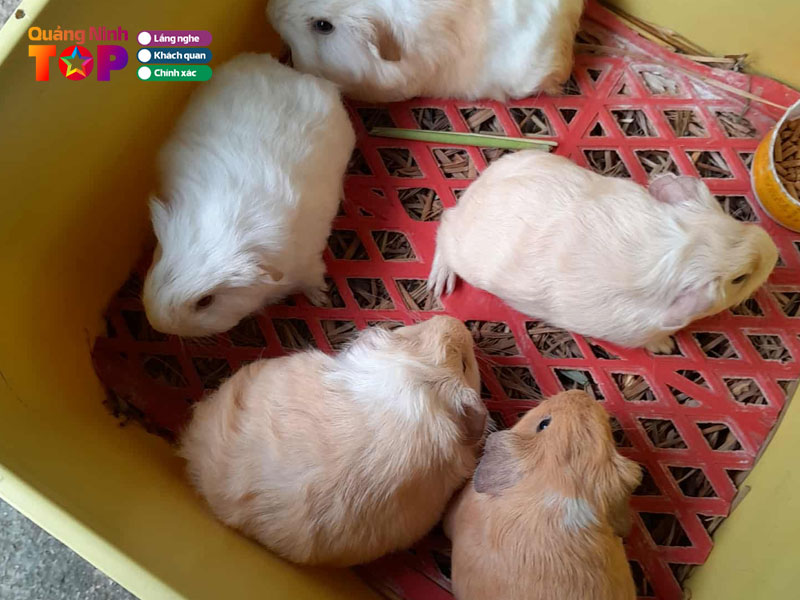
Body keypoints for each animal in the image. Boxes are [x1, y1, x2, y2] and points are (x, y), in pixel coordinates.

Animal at [143, 53, 355, 336]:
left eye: (205, 301)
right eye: (159, 261)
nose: (156, 322)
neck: (222, 231)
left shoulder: (309, 261)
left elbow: (313, 279)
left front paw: (321, 298)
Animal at [431, 151, 779, 353]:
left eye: (731, 220)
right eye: (739, 279)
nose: (773, 251)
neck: (674, 252)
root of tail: (472, 195)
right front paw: (666, 346)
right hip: (456, 246)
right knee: (443, 228)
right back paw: (439, 283)